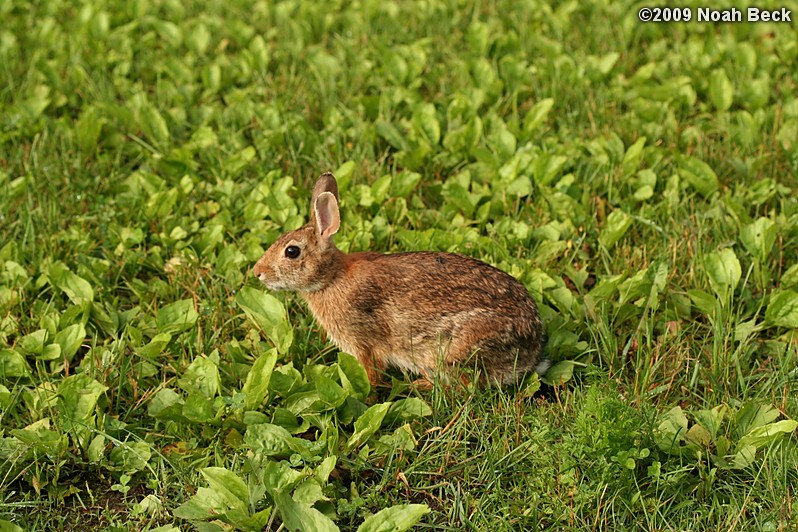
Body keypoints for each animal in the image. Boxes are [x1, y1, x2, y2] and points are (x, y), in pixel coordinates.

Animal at [255, 174, 552, 386]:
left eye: (291, 252)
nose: (258, 272)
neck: (331, 278)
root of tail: (531, 351)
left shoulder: (363, 344)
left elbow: (371, 375)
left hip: (453, 350)